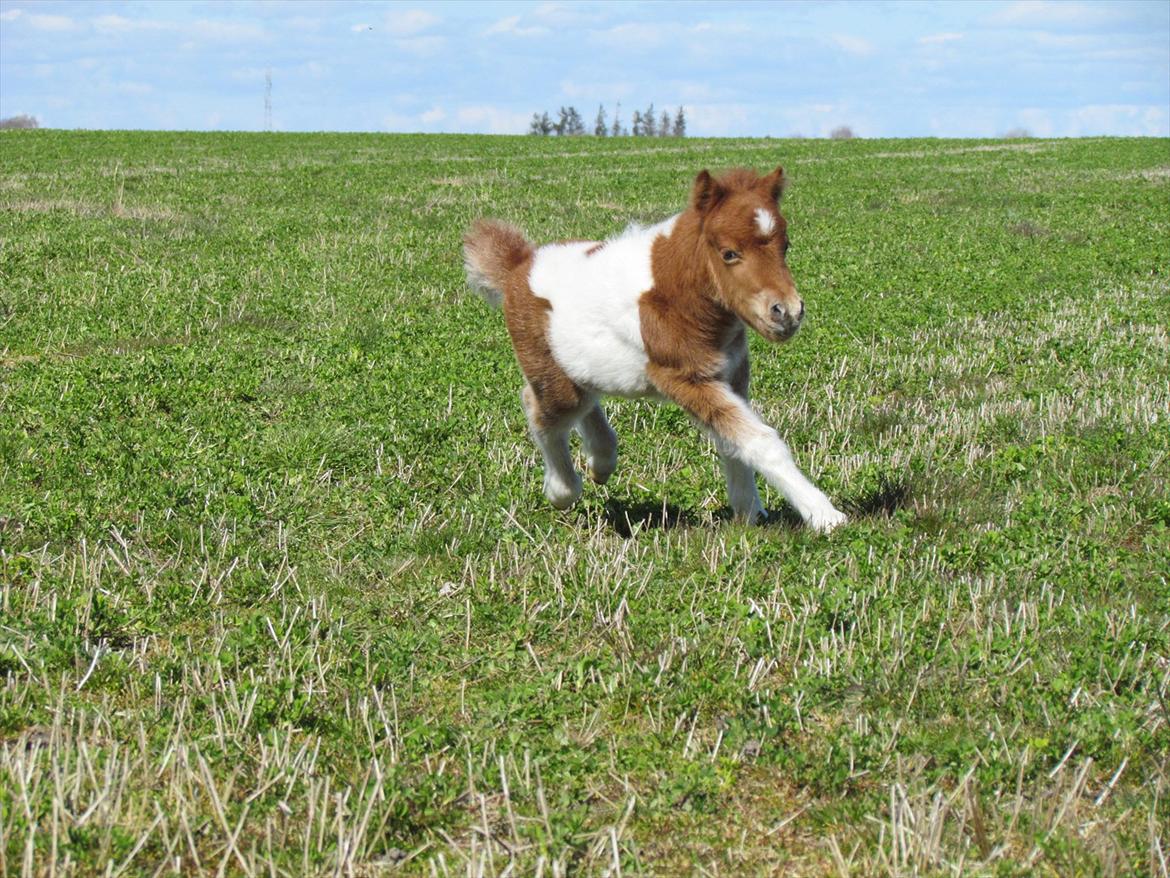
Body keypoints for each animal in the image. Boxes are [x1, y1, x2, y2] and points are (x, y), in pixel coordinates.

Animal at [463, 167, 851, 533]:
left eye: (785, 246)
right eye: (729, 253)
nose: (787, 312)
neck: (676, 292)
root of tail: (520, 263)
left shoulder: (731, 375)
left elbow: (733, 442)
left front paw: (749, 511)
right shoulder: (685, 378)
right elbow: (760, 441)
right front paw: (825, 516)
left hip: (583, 365)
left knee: (585, 401)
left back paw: (601, 461)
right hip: (551, 375)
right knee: (542, 409)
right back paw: (563, 490)